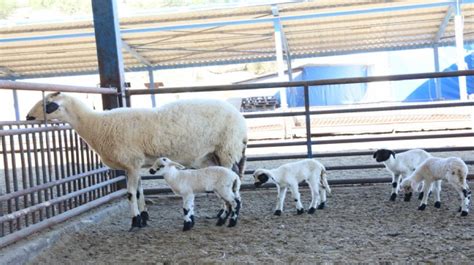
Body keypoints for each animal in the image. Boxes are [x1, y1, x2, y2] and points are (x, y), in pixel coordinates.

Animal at [25, 92, 248, 228]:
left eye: (49, 105)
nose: (28, 118)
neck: (95, 126)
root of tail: (241, 119)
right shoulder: (134, 164)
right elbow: (140, 192)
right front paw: (144, 217)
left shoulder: (131, 162)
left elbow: (131, 194)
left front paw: (135, 221)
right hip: (210, 156)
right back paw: (222, 214)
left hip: (227, 150)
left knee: (231, 185)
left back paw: (227, 215)